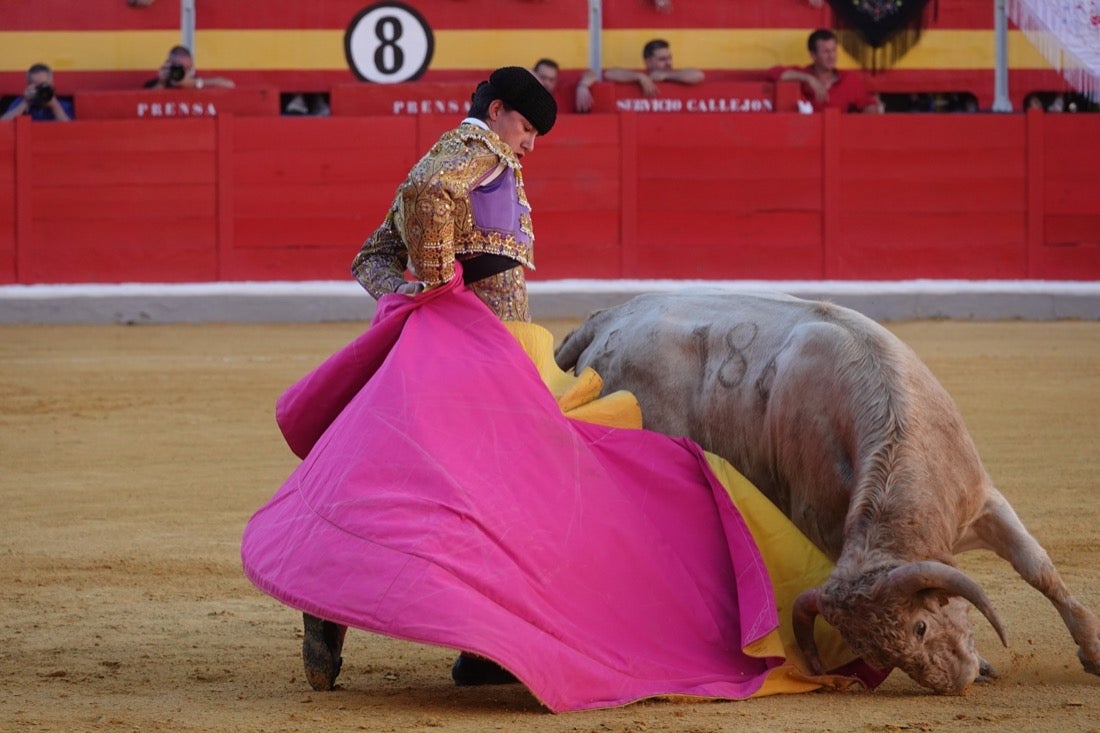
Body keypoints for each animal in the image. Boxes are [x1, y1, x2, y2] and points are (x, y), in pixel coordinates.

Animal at [558, 290, 1100, 691]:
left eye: (920, 627)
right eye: (871, 647)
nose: (953, 681)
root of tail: (607, 317)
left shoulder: (984, 501)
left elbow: (1038, 568)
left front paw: (1092, 651)